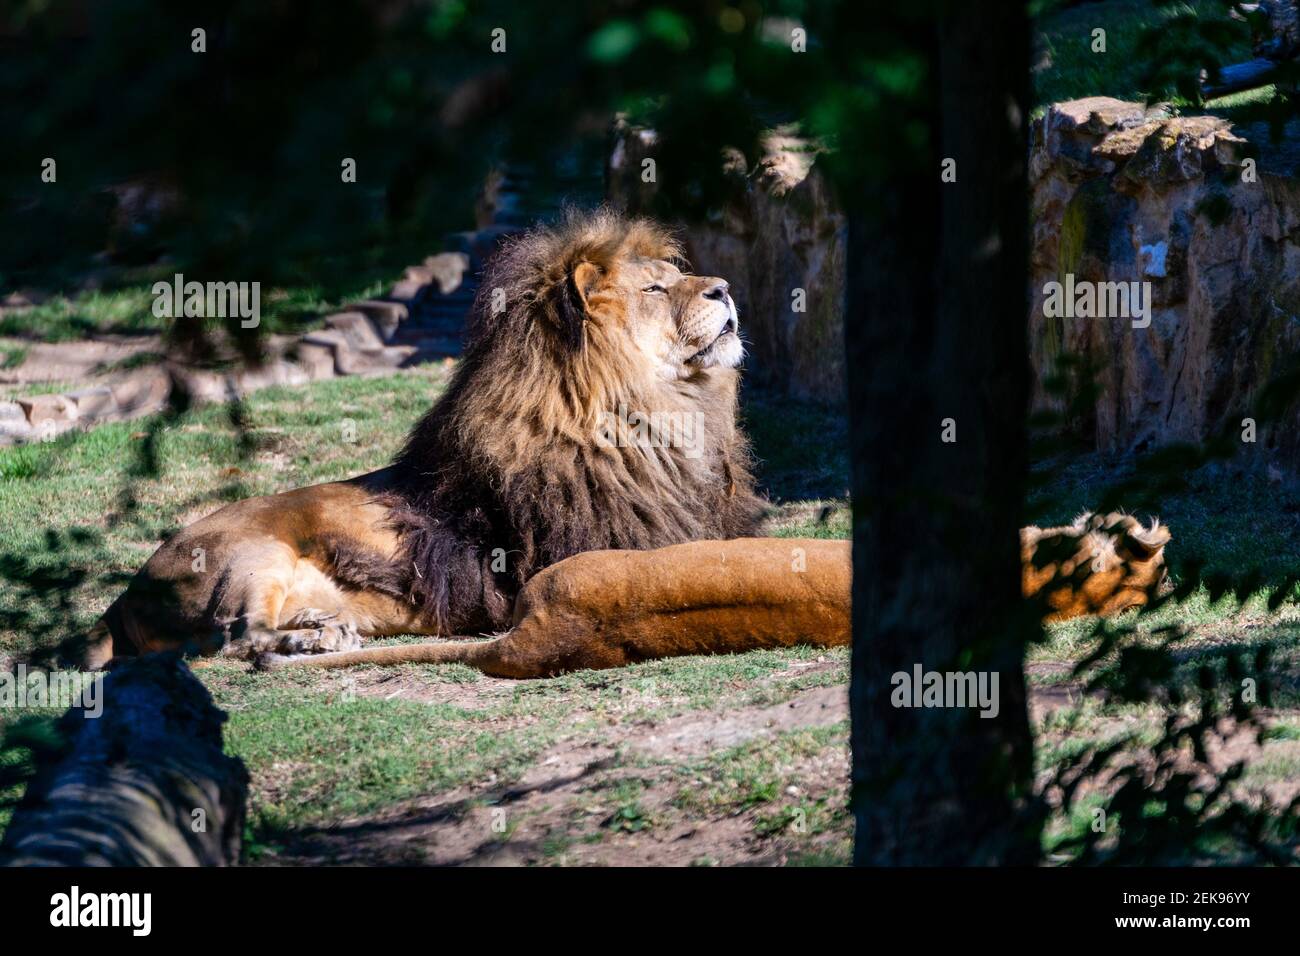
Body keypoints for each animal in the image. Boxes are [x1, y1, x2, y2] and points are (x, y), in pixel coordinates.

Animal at [86, 209, 778, 668]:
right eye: (656, 288)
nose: (724, 289)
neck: (663, 414)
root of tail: (120, 600)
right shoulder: (618, 548)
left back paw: (321, 628)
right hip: (249, 555)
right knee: (231, 636)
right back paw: (306, 640)